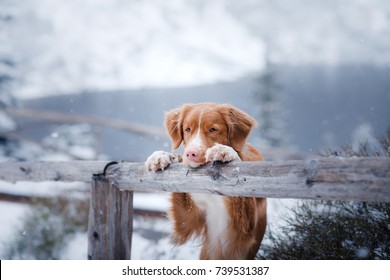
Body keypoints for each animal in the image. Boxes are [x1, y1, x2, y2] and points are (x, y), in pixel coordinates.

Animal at [145, 103, 266, 260]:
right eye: (187, 129)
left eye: (213, 129)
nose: (191, 153)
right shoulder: (188, 218)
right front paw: (161, 156)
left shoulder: (243, 229)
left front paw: (226, 151)